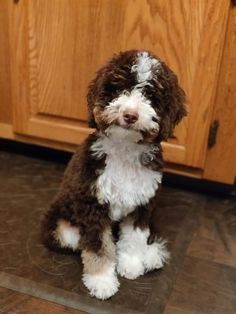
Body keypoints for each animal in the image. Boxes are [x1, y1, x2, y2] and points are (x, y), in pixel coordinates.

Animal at [42, 49, 186, 300]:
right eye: (119, 89)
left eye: (150, 95)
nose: (130, 115)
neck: (125, 148)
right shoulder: (93, 205)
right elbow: (99, 246)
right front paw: (101, 280)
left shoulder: (142, 204)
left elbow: (134, 237)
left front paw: (131, 263)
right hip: (61, 225)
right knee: (77, 240)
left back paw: (151, 255)